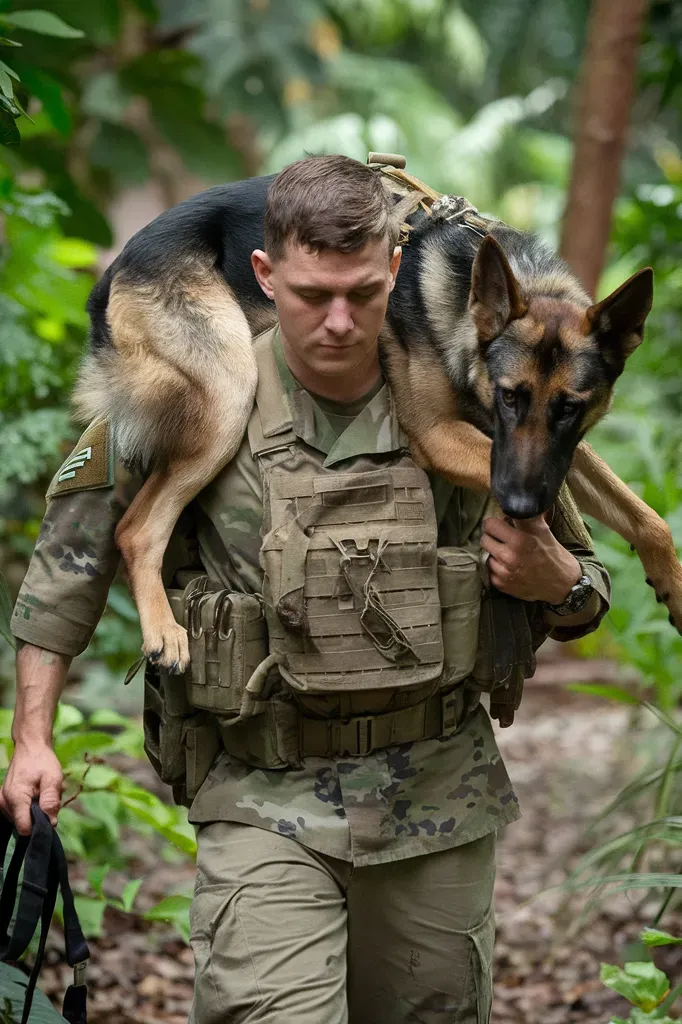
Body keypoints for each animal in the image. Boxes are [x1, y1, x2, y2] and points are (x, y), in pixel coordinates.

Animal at [75, 155, 679, 671]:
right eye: (511, 397)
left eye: (569, 408)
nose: (521, 504)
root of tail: (116, 267)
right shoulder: (441, 436)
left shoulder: (559, 454)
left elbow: (646, 516)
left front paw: (673, 584)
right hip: (229, 394)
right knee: (137, 529)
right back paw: (164, 632)